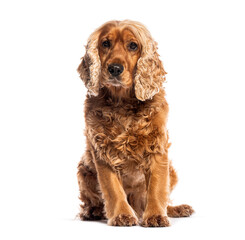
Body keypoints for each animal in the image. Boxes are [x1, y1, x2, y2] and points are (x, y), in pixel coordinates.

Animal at [76, 19, 193, 227]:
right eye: (105, 43)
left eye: (133, 45)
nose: (115, 69)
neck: (122, 103)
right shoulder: (102, 152)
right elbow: (113, 189)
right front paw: (121, 215)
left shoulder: (157, 147)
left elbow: (156, 188)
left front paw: (155, 216)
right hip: (84, 170)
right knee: (92, 201)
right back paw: (93, 212)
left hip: (172, 171)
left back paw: (177, 209)